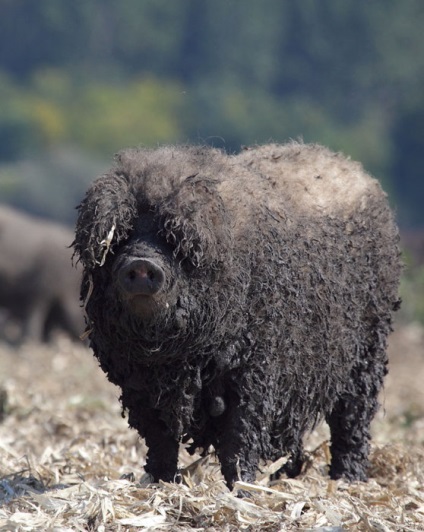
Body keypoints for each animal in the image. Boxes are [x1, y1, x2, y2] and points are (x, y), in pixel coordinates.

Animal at [73, 142, 400, 490]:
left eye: (175, 240)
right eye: (119, 236)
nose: (141, 263)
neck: (171, 360)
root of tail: (360, 173)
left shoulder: (257, 369)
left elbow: (241, 434)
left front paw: (241, 488)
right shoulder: (139, 385)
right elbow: (160, 439)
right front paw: (161, 483)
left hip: (369, 346)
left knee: (353, 418)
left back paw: (347, 481)